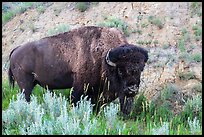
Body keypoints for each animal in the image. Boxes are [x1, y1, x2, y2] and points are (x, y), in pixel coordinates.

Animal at [8, 25, 148, 114]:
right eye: (120, 70)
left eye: (141, 69)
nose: (132, 89)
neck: (103, 57)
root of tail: (16, 50)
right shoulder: (80, 86)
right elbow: (75, 100)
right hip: (26, 85)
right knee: (26, 97)